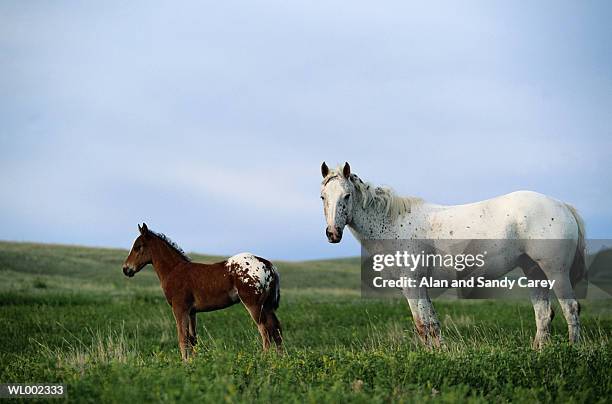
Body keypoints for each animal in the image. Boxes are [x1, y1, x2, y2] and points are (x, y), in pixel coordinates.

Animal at [122, 224, 284, 360]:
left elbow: (182, 338)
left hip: (254, 305)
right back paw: (280, 359)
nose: (126, 269)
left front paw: (185, 363)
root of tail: (269, 266)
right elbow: (192, 339)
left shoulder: (179, 308)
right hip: (267, 306)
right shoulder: (192, 312)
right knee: (276, 330)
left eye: (138, 247)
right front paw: (193, 361)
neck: (174, 270)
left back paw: (264, 359)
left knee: (265, 331)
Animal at [320, 161, 584, 348]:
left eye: (347, 196)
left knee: (570, 308)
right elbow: (432, 324)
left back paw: (573, 349)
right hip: (534, 272)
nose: (332, 233)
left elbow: (422, 325)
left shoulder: (412, 284)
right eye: (323, 196)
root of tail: (562, 205)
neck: (393, 224)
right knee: (544, 314)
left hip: (556, 272)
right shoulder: (421, 287)